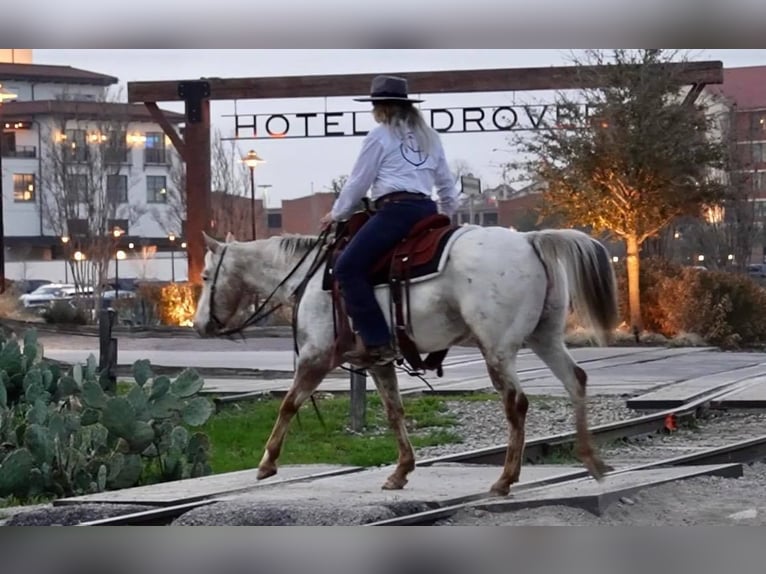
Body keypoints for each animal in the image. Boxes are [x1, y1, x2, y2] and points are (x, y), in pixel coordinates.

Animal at [195, 223, 620, 498]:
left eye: (204, 276)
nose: (199, 325)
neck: (311, 278)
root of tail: (530, 240)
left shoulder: (316, 357)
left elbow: (287, 404)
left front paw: (266, 463)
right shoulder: (379, 363)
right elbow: (394, 412)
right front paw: (400, 471)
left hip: (497, 348)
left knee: (516, 403)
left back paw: (505, 479)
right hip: (544, 338)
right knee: (576, 380)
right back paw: (592, 461)